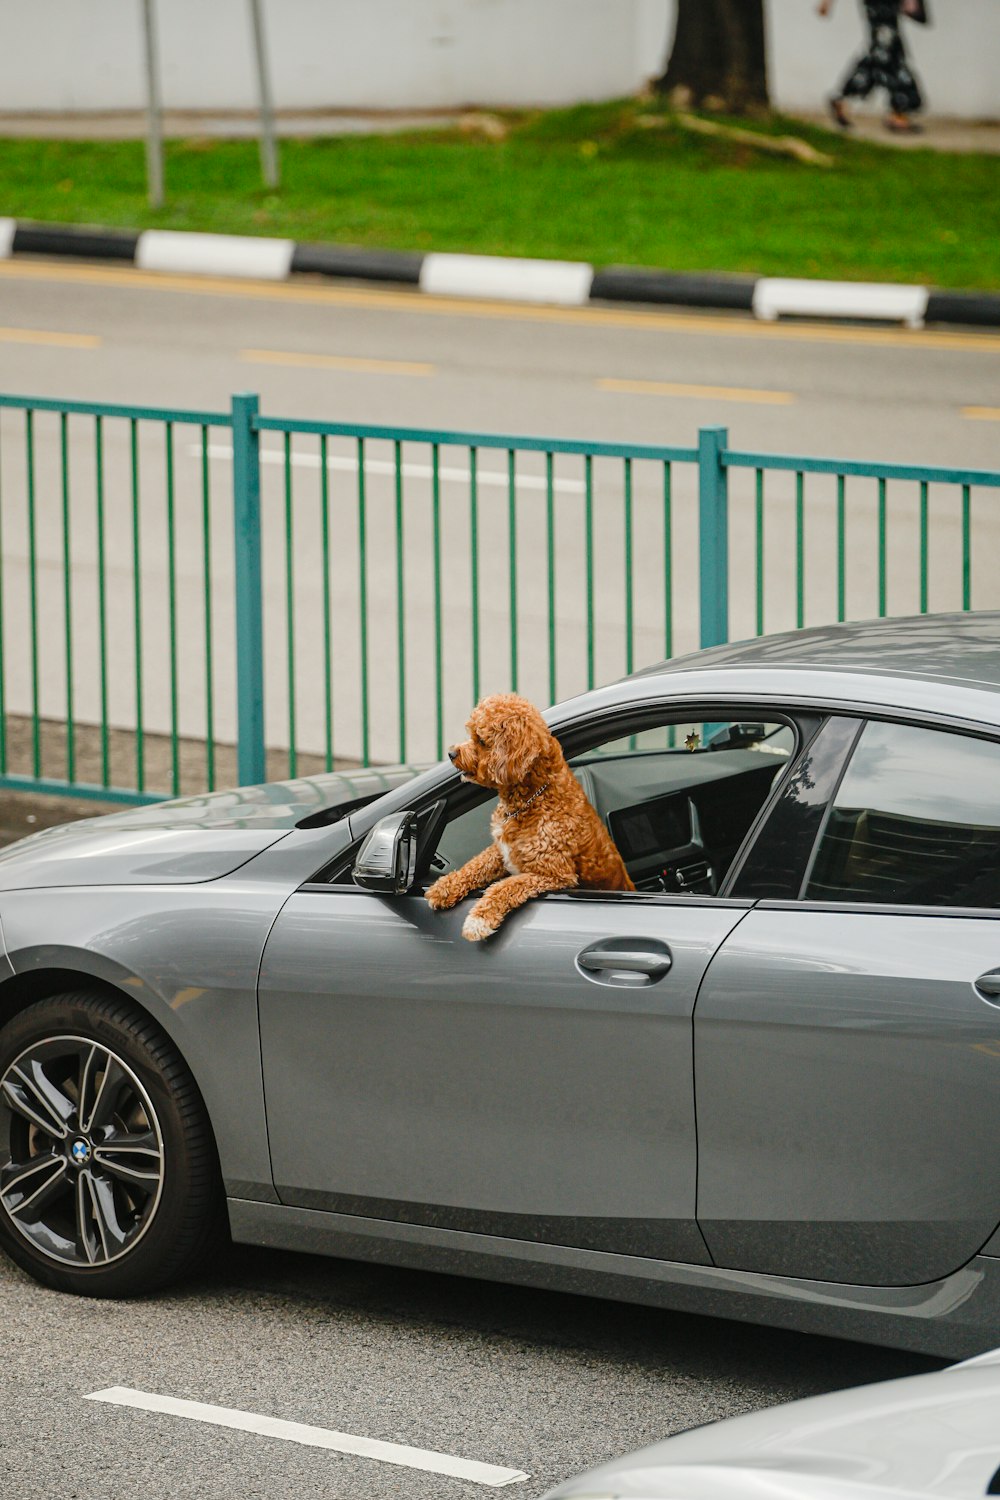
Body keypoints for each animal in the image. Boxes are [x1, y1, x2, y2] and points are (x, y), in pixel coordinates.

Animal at [425, 690, 632, 936]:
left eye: (481, 740)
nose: (451, 752)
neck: (533, 798)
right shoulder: (503, 849)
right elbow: (476, 864)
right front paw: (445, 887)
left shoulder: (553, 874)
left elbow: (506, 886)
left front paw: (479, 919)